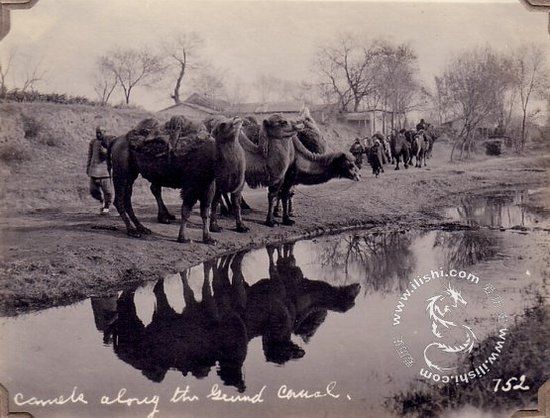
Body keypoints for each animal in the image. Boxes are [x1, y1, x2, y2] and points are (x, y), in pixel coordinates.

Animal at [110, 116, 248, 243]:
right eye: (223, 124)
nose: (238, 118)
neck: (212, 156)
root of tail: (116, 140)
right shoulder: (190, 185)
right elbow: (186, 211)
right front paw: (183, 238)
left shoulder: (208, 185)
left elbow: (205, 211)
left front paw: (208, 238)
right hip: (121, 171)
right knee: (119, 200)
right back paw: (132, 230)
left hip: (131, 173)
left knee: (129, 198)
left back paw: (142, 228)